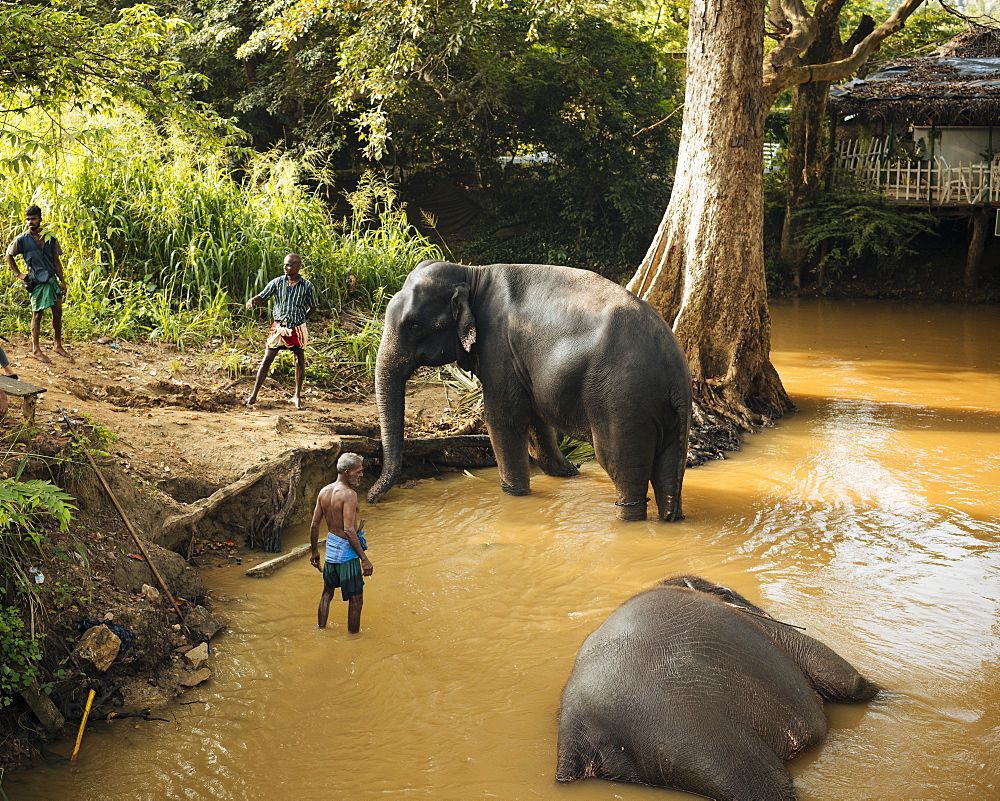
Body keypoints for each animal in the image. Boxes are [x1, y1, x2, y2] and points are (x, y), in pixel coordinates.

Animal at [370, 256, 696, 520]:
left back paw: (628, 520)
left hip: (623, 401)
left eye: (413, 324)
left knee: (618, 464)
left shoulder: (498, 347)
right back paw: (670, 519)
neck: (472, 273)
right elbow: (536, 419)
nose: (372, 499)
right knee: (669, 471)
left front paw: (515, 495)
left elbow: (504, 418)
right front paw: (567, 473)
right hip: (667, 411)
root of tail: (675, 369)